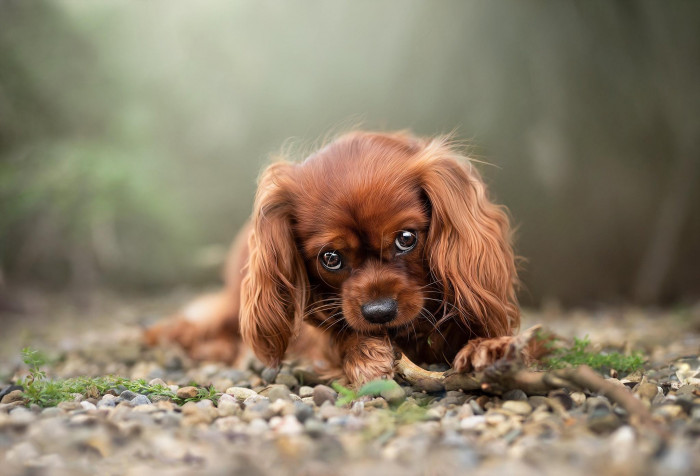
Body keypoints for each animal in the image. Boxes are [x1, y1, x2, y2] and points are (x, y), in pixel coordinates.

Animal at [146, 132, 520, 384]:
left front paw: (490, 347)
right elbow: (333, 337)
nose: (379, 312)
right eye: (331, 258)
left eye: (406, 239)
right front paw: (364, 353)